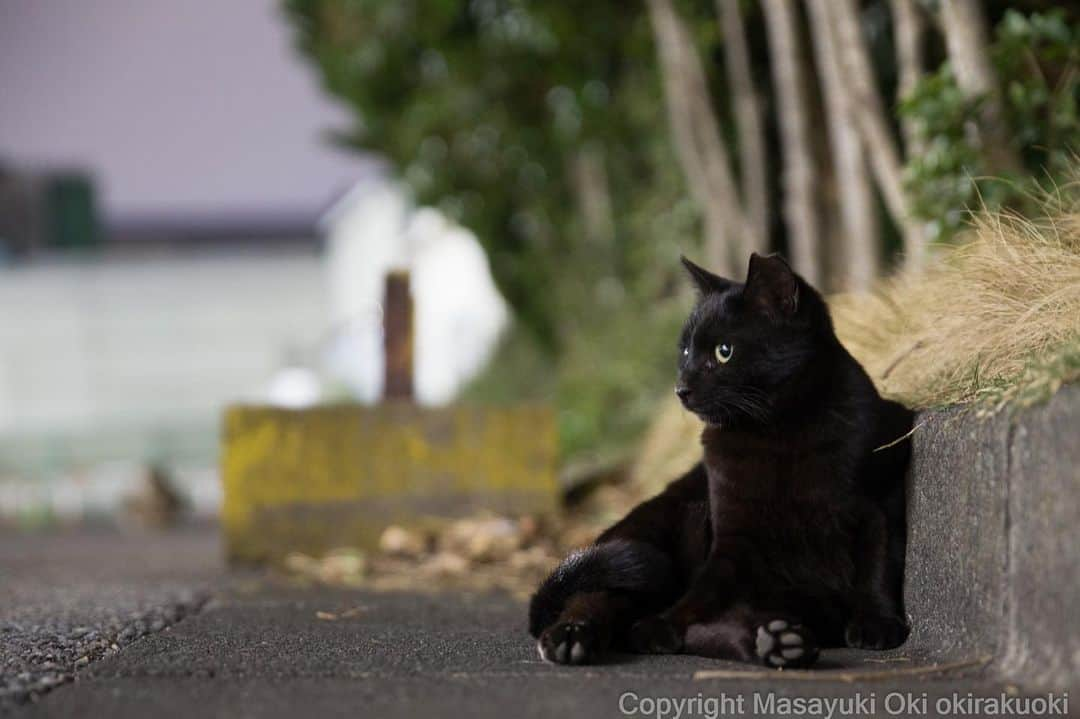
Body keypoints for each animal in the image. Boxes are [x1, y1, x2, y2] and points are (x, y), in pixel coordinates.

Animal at [529, 251, 911, 665]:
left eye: (723, 352)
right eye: (684, 351)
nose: (680, 388)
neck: (776, 431)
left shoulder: (877, 505)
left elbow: (877, 567)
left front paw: (877, 622)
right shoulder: (734, 536)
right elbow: (701, 595)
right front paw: (663, 625)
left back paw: (781, 643)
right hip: (653, 534)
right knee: (598, 596)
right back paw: (572, 637)